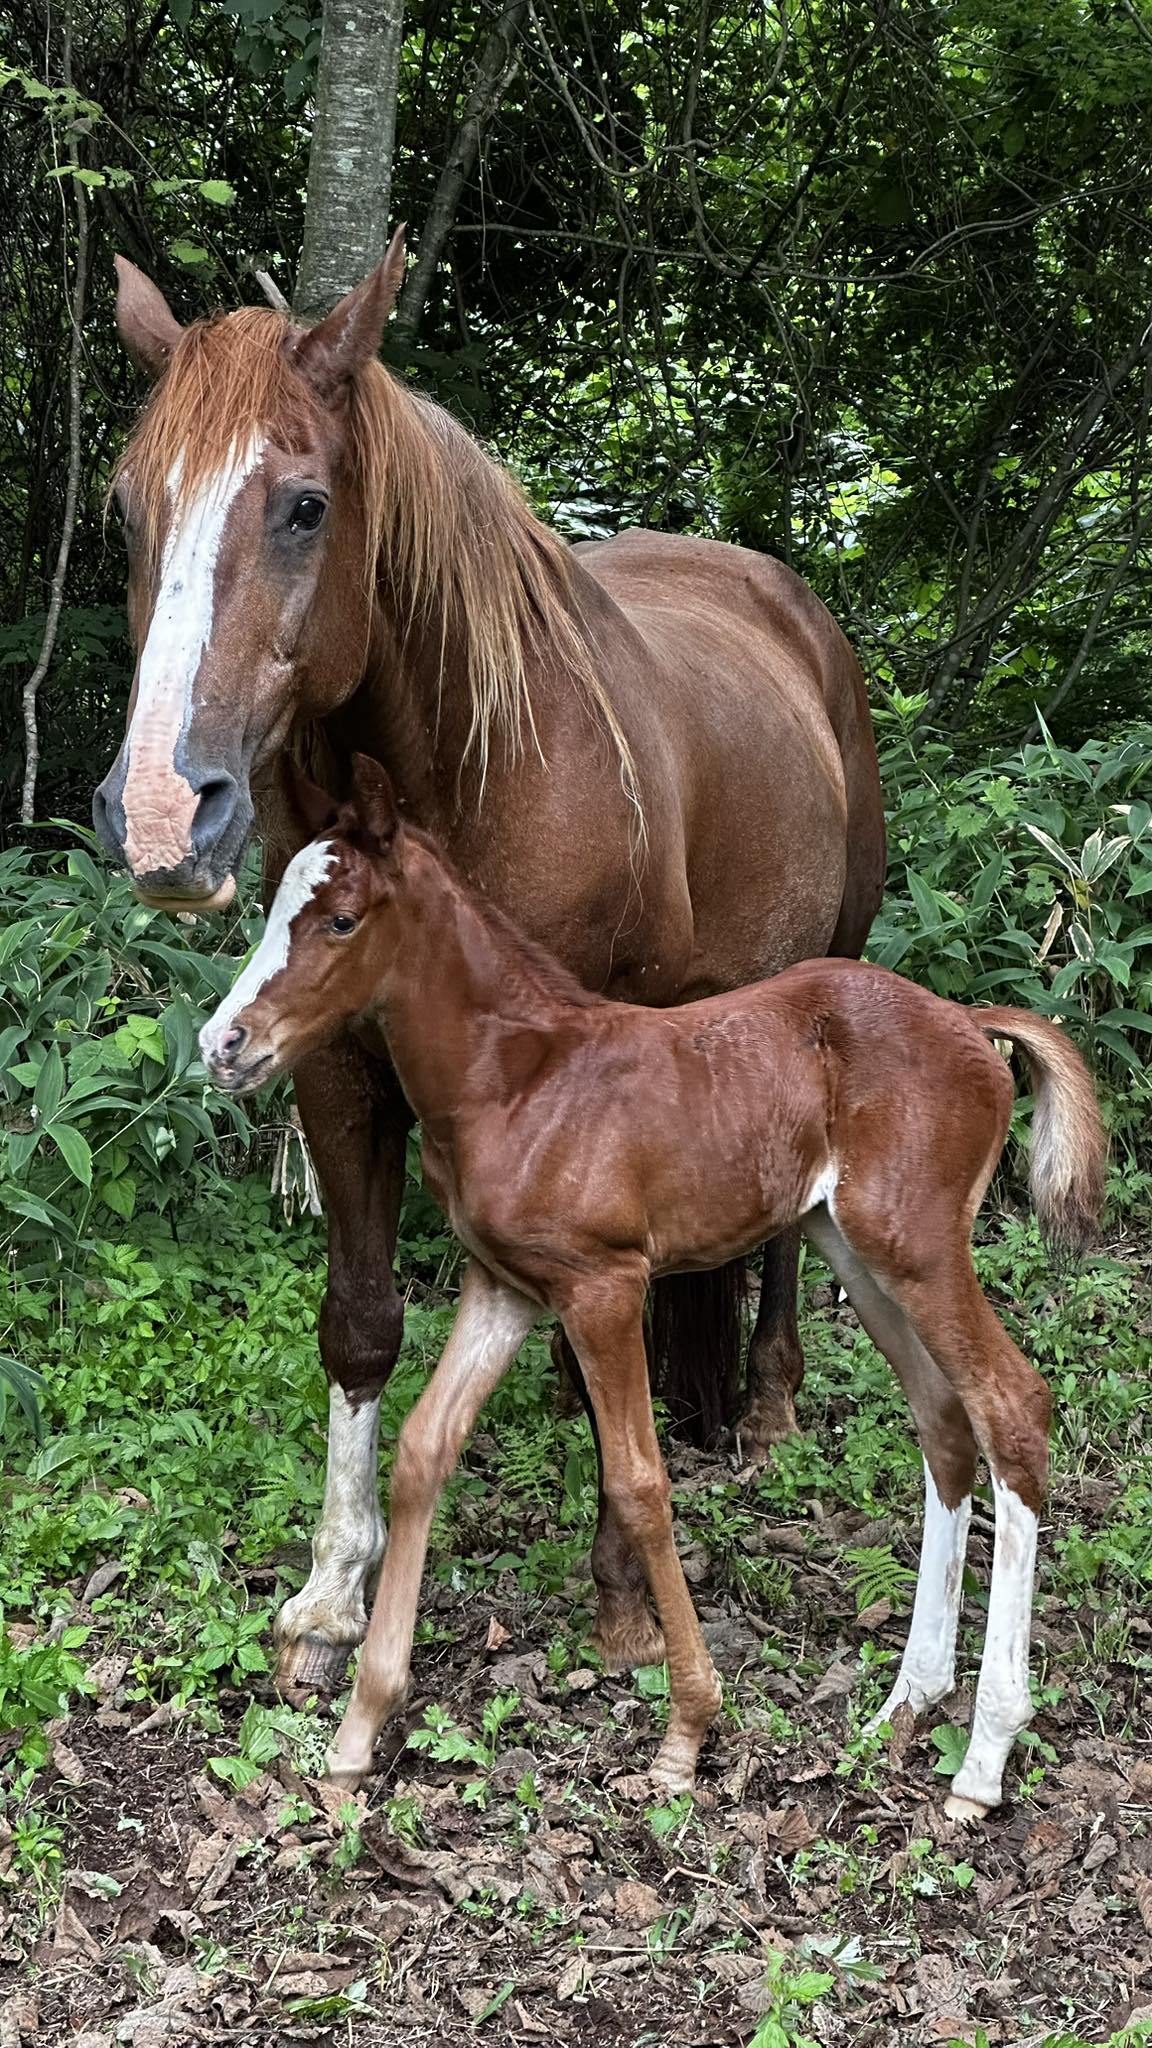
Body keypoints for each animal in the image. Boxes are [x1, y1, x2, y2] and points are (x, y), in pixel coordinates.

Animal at [93, 230, 886, 1695]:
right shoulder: (339, 1068)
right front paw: (332, 1597)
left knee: (790, 1236)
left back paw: (766, 1406)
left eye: (303, 506)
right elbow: (360, 1320)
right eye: (128, 510)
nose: (166, 815)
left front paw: (621, 1595)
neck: (472, 765)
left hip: (832, 977)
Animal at [200, 755, 1105, 1819]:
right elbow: (423, 1452)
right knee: (945, 1424)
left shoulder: (605, 1285)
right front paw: (355, 1733)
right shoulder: (504, 1287)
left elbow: (639, 1481)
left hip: (917, 1247)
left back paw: (984, 1757)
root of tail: (971, 1023)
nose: (224, 1043)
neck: (517, 1078)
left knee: (1012, 1407)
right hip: (856, 1251)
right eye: (272, 909)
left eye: (341, 919)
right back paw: (906, 1704)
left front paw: (686, 1731)